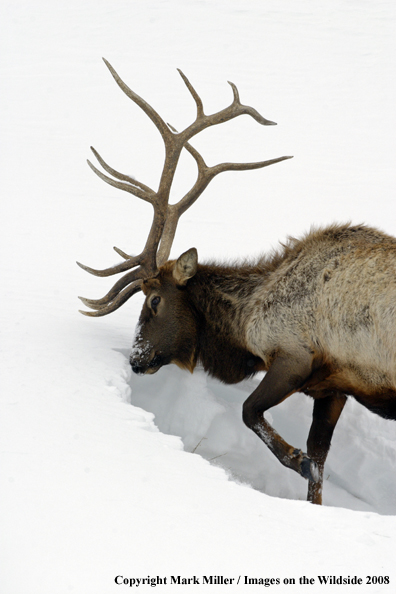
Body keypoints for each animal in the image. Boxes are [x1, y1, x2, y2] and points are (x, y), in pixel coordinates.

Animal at [79, 57, 396, 504]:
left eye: (153, 299)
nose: (136, 358)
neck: (243, 329)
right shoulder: (332, 386)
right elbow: (319, 464)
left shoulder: (293, 354)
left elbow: (252, 414)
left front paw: (294, 458)